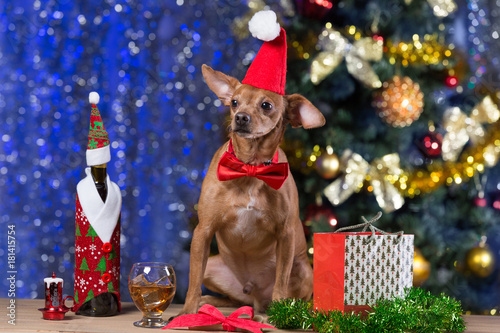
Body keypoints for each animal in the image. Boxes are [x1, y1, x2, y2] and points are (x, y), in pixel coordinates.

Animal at [181, 64, 328, 314]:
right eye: (234, 103)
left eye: (266, 105)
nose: (240, 117)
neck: (251, 167)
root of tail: (256, 297)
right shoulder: (203, 231)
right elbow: (192, 283)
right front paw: (186, 314)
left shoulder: (286, 235)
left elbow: (281, 282)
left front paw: (280, 317)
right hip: (213, 265)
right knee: (234, 299)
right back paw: (208, 301)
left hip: (304, 270)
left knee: (289, 298)